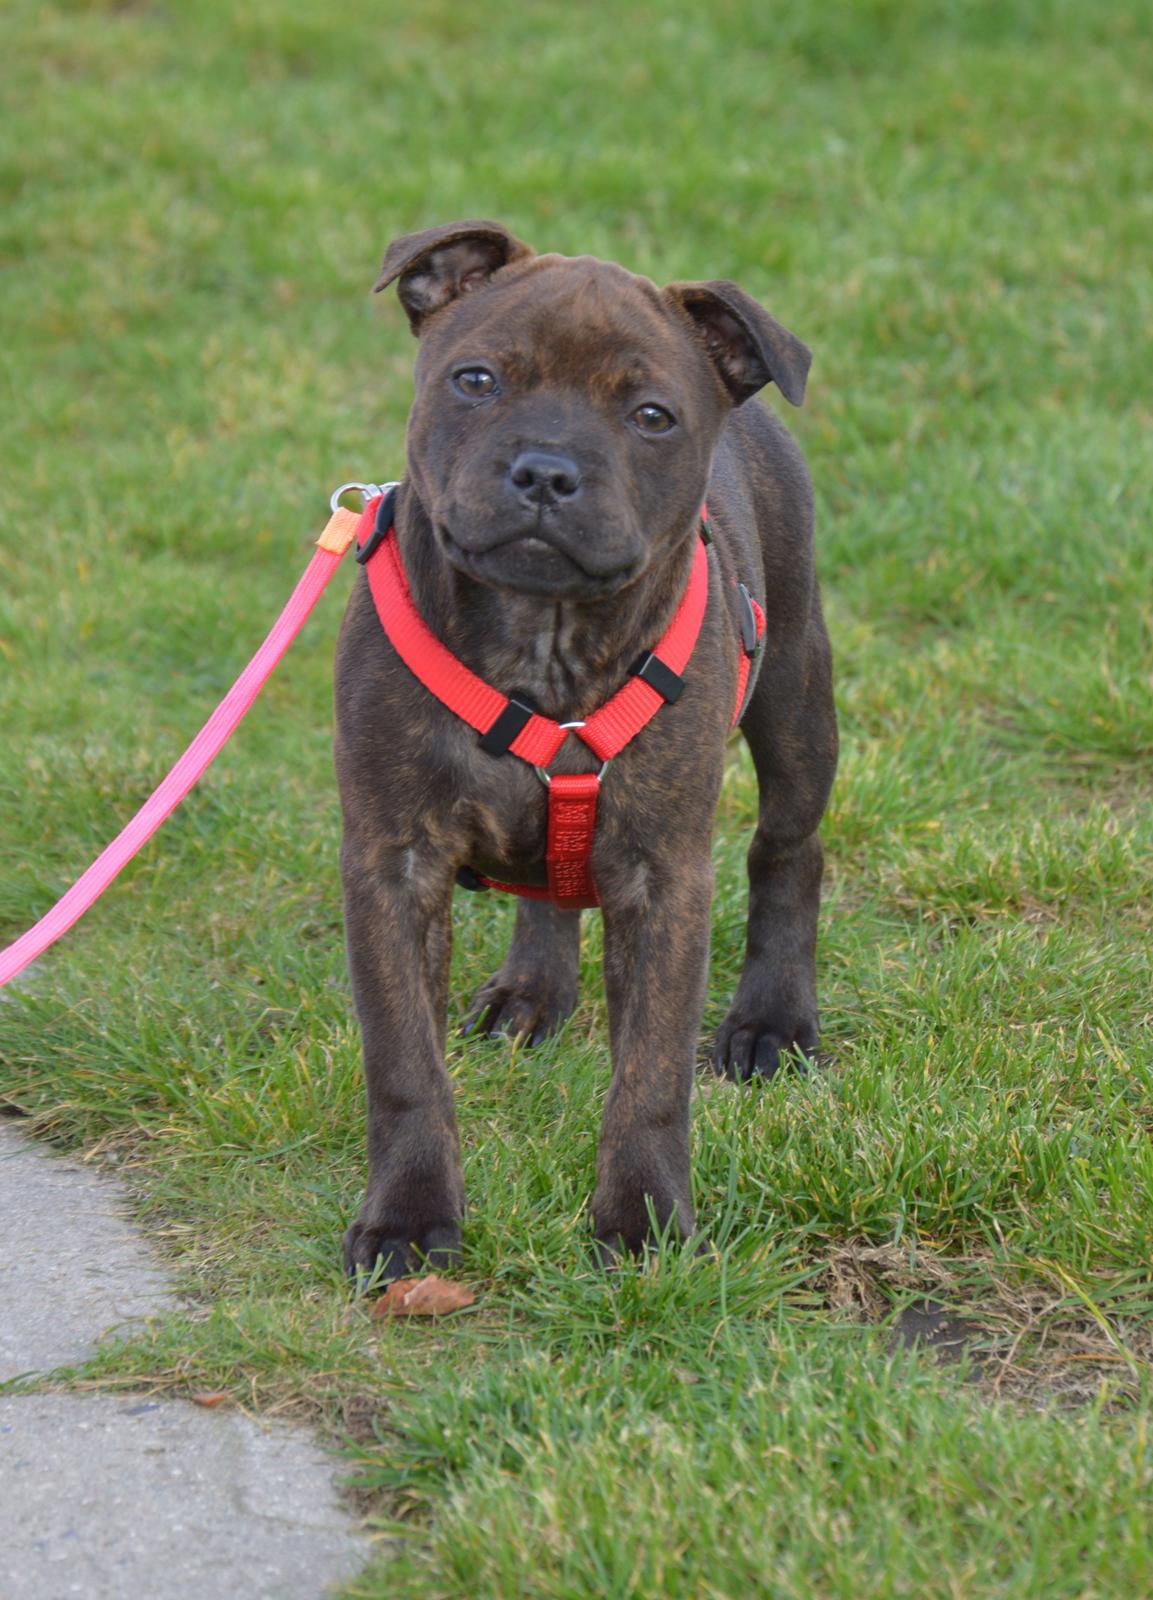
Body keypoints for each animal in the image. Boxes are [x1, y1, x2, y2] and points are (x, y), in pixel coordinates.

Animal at [332, 219, 837, 1280]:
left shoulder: (662, 875)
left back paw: (771, 1020)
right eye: (476, 379)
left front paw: (641, 1218)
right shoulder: (392, 862)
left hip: (795, 694)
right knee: (549, 887)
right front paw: (407, 1219)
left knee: (787, 850)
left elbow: (650, 1071)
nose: (545, 472)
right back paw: (533, 989)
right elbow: (403, 1062)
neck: (542, 640)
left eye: (650, 415)